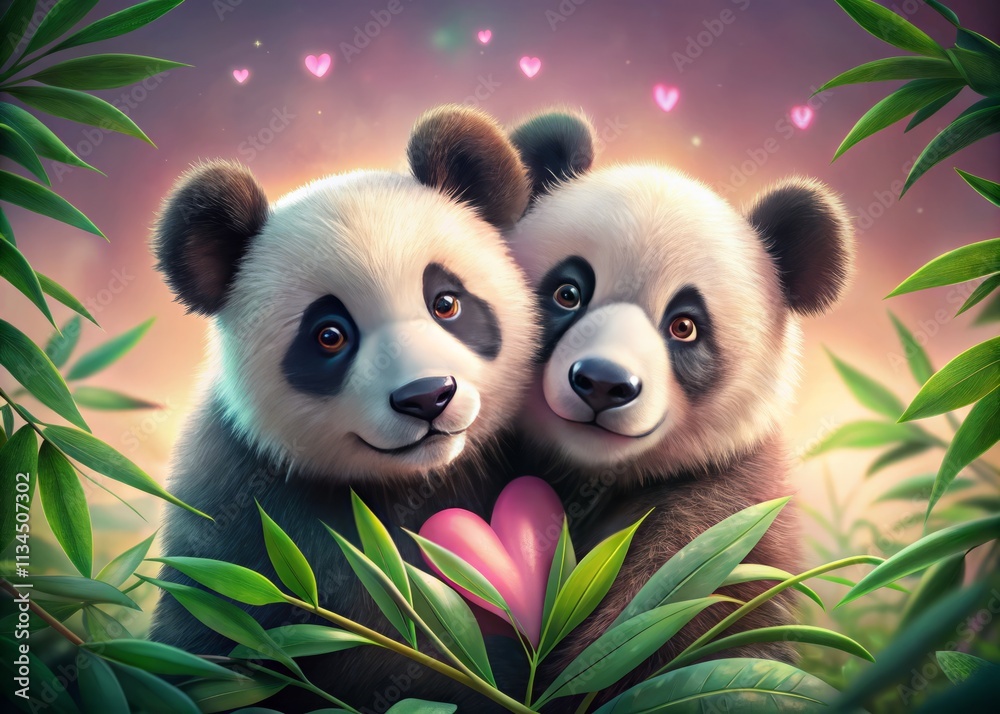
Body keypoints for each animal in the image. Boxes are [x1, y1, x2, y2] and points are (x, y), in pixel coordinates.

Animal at [147, 105, 538, 712]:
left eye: (446, 302)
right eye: (330, 335)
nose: (426, 396)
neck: (405, 484)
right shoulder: (235, 514)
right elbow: (205, 642)